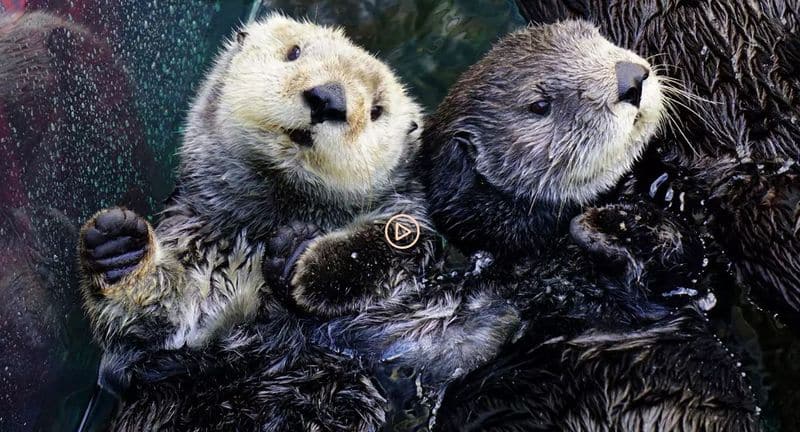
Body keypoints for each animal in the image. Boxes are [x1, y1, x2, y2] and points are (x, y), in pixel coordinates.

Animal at [418, 21, 764, 432]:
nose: (631, 78)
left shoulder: (705, 272)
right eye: (539, 105)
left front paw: (620, 214)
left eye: (594, 36)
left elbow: (692, 262)